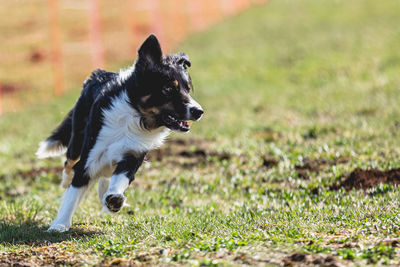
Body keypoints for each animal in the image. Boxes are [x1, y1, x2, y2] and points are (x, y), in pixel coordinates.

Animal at [35, 35, 203, 232]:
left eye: (188, 89)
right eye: (168, 89)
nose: (199, 111)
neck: (135, 116)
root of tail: (98, 73)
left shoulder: (133, 154)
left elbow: (120, 179)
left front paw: (113, 199)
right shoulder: (89, 157)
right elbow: (73, 193)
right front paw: (60, 224)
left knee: (105, 177)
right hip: (77, 140)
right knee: (69, 163)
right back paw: (67, 180)